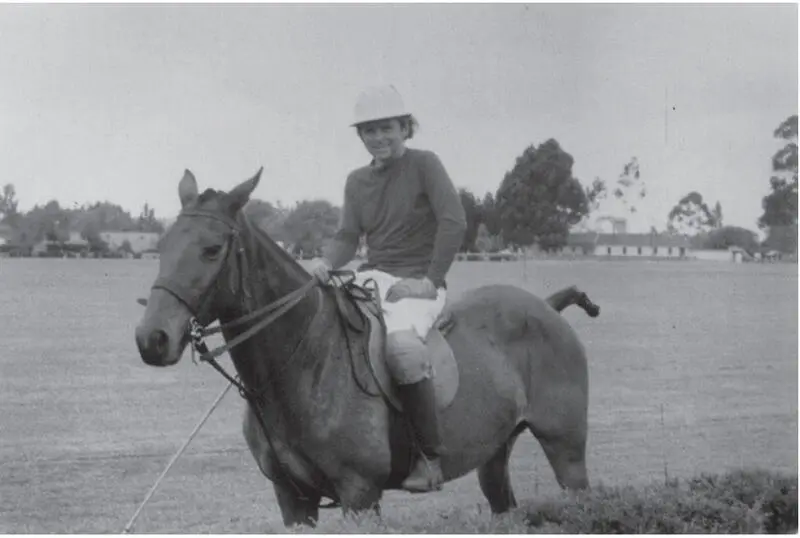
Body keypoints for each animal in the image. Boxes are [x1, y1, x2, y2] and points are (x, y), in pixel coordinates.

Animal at [134, 170, 596, 524]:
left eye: (212, 249)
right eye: (163, 246)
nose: (151, 339)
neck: (303, 362)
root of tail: (548, 305)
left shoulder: (360, 493)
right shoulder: (291, 499)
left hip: (566, 448)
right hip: (495, 454)